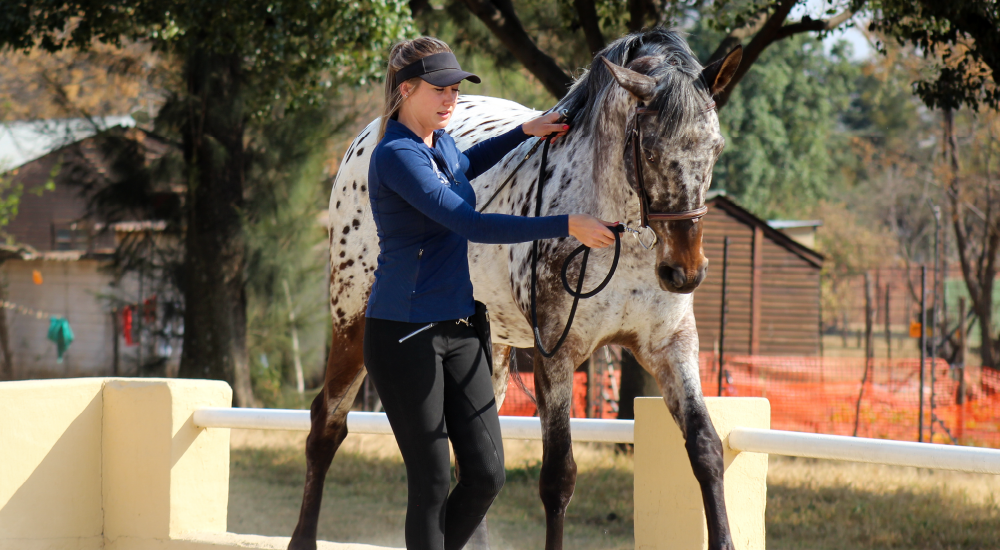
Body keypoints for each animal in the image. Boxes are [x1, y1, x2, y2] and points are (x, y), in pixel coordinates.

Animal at [288, 28, 743, 550]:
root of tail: (365, 140)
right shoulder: (557, 355)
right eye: (648, 151)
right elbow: (558, 477)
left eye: (716, 149)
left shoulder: (670, 347)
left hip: (493, 352)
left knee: (470, 462)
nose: (684, 272)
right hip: (353, 325)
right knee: (327, 424)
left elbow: (706, 449)